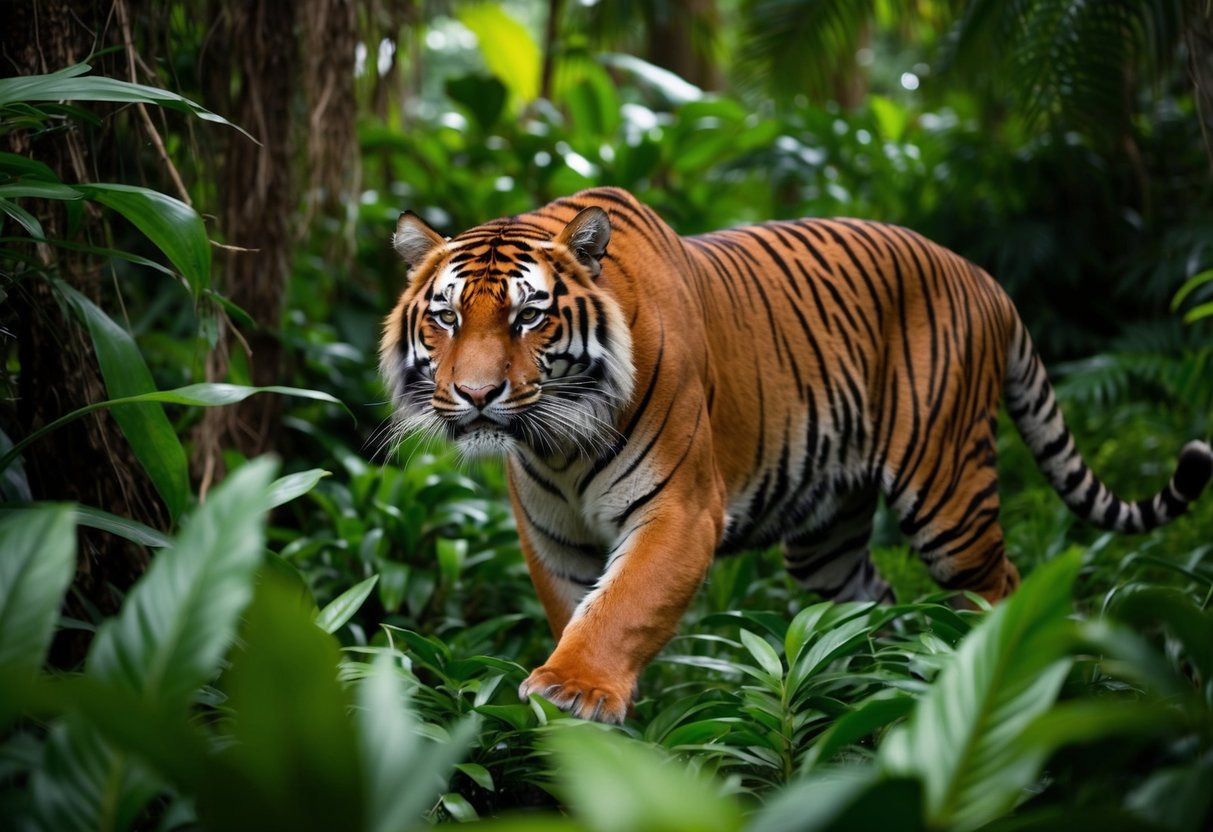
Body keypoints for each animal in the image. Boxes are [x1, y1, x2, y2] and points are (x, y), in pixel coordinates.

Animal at [378, 187, 1213, 722]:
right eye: (446, 317)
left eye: (529, 318)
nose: (477, 394)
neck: (557, 443)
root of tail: (983, 276)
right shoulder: (553, 538)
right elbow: (578, 610)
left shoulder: (682, 510)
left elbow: (624, 605)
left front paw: (572, 691)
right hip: (825, 535)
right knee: (867, 602)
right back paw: (867, 692)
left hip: (948, 491)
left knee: (998, 583)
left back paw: (989, 677)